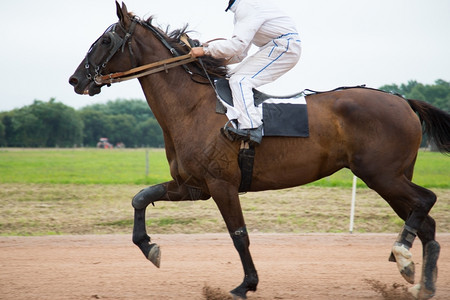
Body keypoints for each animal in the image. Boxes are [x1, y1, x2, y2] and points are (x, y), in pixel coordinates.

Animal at [68, 1, 448, 298]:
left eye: (105, 40)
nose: (75, 80)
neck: (193, 107)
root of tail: (403, 100)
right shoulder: (192, 186)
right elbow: (141, 198)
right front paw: (150, 247)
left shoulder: (222, 185)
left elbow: (239, 236)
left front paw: (246, 284)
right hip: (391, 178)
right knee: (426, 222)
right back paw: (422, 283)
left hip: (382, 175)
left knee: (427, 201)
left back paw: (402, 256)